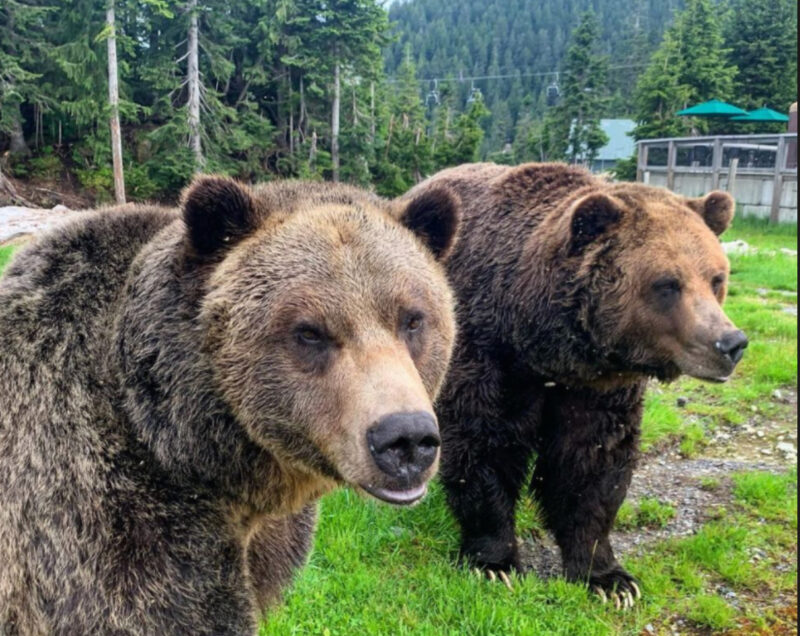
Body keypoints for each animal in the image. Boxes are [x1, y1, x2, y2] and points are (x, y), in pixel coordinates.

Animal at [402, 162, 747, 607]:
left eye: (717, 278)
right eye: (668, 283)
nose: (731, 343)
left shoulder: (596, 389)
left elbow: (591, 465)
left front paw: (609, 579)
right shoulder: (489, 354)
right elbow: (484, 443)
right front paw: (493, 562)